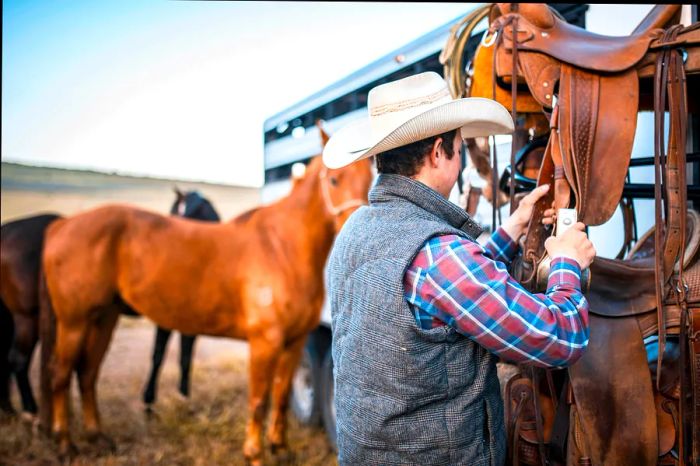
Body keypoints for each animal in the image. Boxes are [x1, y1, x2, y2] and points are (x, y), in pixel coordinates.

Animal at [39, 152, 374, 462]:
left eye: (371, 177)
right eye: (335, 180)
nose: (356, 229)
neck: (281, 248)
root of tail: (61, 225)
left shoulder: (295, 341)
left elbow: (280, 395)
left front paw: (280, 448)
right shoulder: (264, 342)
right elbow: (259, 401)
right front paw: (254, 454)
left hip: (104, 319)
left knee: (87, 374)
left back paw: (97, 437)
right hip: (74, 323)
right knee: (60, 375)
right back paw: (66, 445)